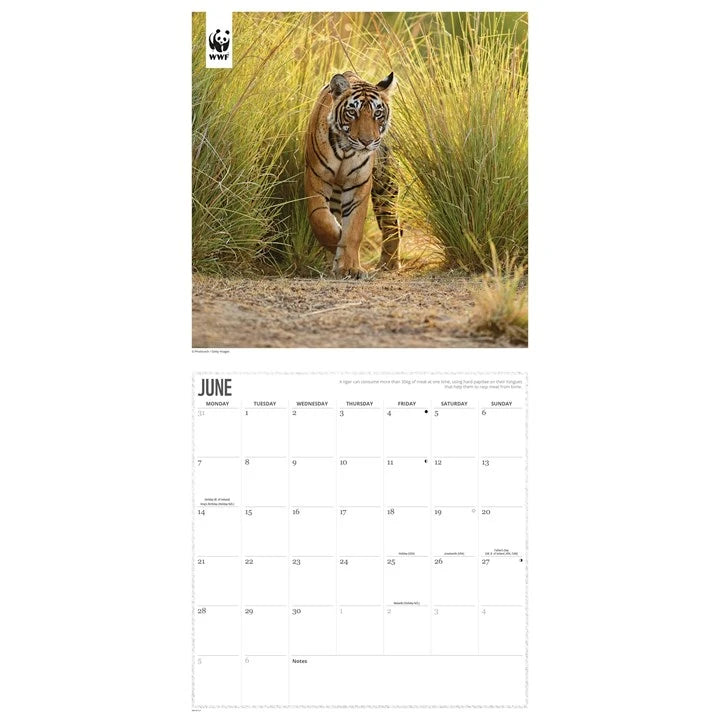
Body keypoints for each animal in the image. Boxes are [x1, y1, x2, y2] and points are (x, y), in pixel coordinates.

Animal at [304, 70, 402, 279]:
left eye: (377, 114)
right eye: (352, 113)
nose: (367, 141)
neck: (345, 149)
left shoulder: (359, 184)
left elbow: (353, 229)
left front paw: (350, 267)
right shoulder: (316, 177)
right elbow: (321, 220)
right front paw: (336, 245)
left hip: (386, 185)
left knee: (392, 223)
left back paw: (388, 264)